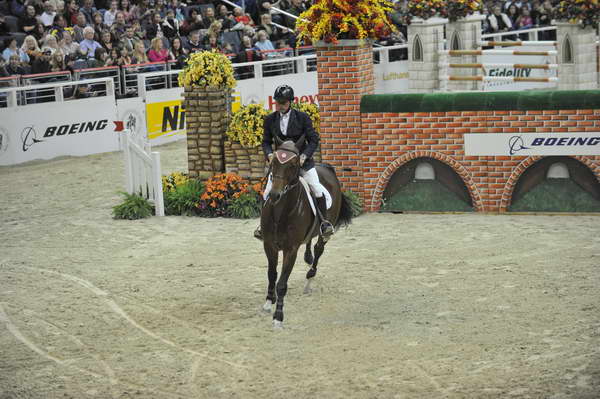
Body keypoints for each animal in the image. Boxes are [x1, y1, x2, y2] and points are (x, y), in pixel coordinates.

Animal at [258, 141, 352, 328]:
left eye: (293, 165)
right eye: (274, 163)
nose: (274, 195)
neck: (280, 211)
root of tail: (327, 167)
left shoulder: (290, 250)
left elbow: (282, 283)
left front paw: (278, 317)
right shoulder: (269, 245)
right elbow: (272, 275)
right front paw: (268, 302)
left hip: (325, 232)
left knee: (319, 249)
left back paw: (309, 279)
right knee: (310, 242)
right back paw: (308, 258)